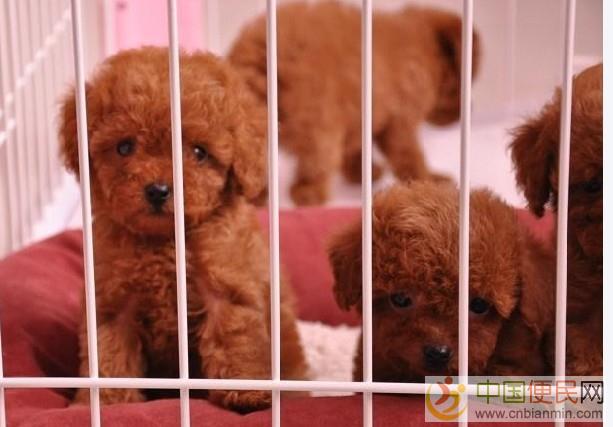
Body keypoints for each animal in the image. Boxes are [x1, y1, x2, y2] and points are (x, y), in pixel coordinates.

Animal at [60, 47, 307, 412]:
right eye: (124, 147)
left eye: (199, 152)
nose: (158, 190)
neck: (166, 242)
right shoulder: (113, 302)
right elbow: (109, 353)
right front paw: (108, 402)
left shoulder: (226, 288)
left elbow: (234, 338)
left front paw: (247, 392)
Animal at [228, 1, 481, 206]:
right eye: (463, 86)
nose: (470, 109)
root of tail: (259, 48)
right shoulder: (399, 122)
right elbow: (410, 156)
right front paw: (430, 180)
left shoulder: (360, 113)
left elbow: (356, 147)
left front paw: (364, 172)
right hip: (316, 117)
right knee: (316, 159)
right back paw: (308, 193)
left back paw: (257, 197)